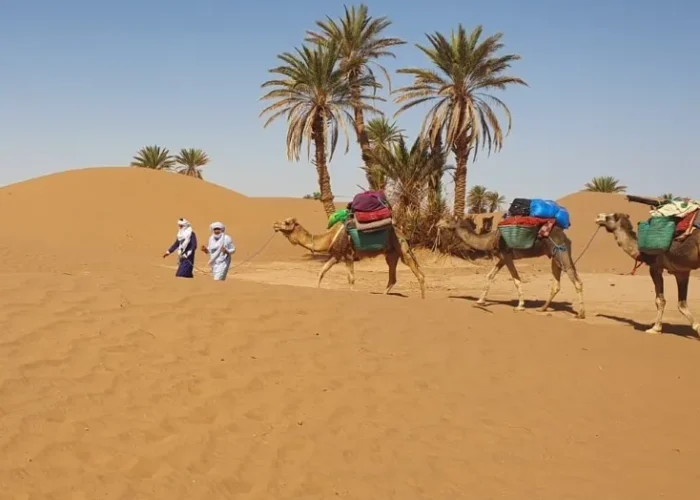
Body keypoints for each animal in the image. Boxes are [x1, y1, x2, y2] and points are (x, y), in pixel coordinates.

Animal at [272, 217, 426, 298]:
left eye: (286, 222)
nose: (274, 224)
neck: (329, 238)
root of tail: (401, 231)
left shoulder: (348, 255)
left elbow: (351, 278)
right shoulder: (337, 256)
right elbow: (322, 271)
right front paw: (317, 289)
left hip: (401, 249)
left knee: (418, 273)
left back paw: (423, 298)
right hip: (391, 254)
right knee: (392, 276)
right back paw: (383, 295)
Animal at [437, 217, 585, 318]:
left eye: (448, 219)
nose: (438, 223)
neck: (489, 240)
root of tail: (566, 237)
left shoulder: (507, 256)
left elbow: (516, 279)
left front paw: (520, 306)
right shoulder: (502, 258)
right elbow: (490, 276)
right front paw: (480, 301)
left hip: (561, 252)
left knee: (577, 280)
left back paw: (581, 313)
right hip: (554, 257)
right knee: (557, 285)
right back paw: (542, 308)